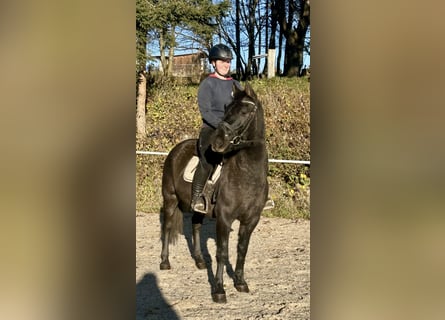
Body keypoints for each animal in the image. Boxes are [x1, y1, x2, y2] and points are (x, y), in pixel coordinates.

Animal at [160, 82, 268, 302]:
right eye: (226, 110)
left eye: (244, 112)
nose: (218, 143)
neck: (247, 173)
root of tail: (176, 149)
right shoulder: (224, 218)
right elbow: (222, 253)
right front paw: (219, 290)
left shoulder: (251, 219)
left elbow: (242, 250)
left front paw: (240, 282)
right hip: (170, 199)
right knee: (166, 227)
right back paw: (165, 262)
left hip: (197, 207)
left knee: (196, 226)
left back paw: (200, 261)